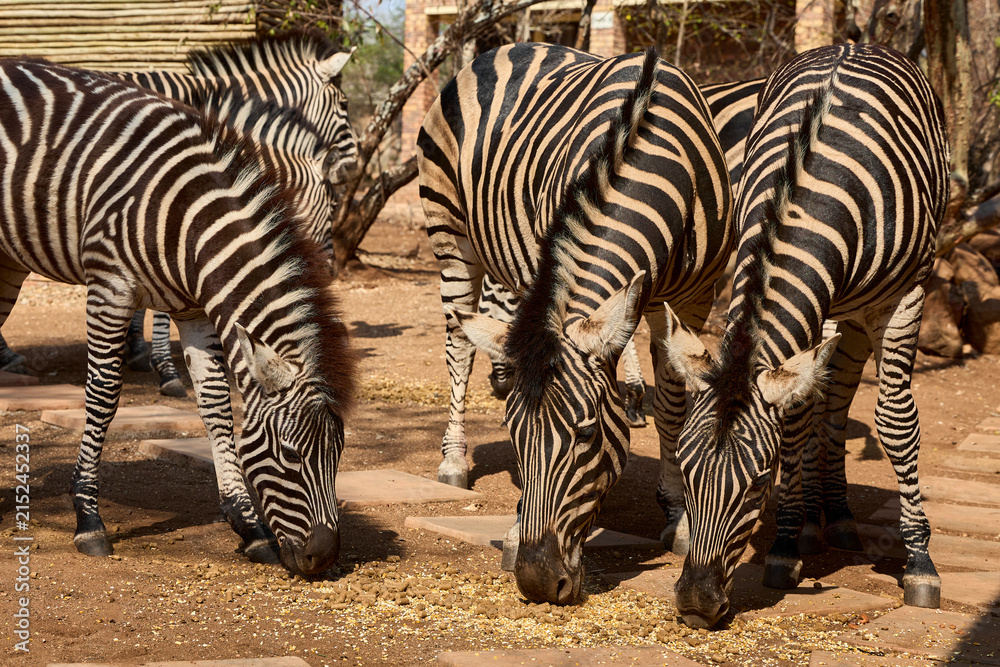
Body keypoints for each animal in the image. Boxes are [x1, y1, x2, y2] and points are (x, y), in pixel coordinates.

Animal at [0, 58, 357, 574]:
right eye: (290, 454)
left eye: (340, 453)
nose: (324, 557)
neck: (188, 220)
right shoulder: (110, 289)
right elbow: (104, 397)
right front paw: (88, 519)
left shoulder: (195, 310)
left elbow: (216, 406)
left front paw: (248, 526)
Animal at [418, 43, 732, 604]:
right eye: (514, 436)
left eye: (587, 434)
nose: (538, 580)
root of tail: (506, 48)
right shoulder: (551, 252)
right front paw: (515, 529)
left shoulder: (694, 296)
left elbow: (674, 404)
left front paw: (679, 517)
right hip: (450, 235)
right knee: (459, 347)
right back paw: (453, 461)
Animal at [658, 43, 949, 628]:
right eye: (688, 472)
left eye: (758, 481)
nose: (696, 603)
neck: (812, 192)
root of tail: (853, 43)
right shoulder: (812, 300)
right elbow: (795, 420)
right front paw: (787, 544)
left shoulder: (905, 296)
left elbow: (895, 423)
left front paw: (920, 563)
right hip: (835, 310)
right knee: (822, 400)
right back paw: (817, 520)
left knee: (837, 402)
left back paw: (837, 516)